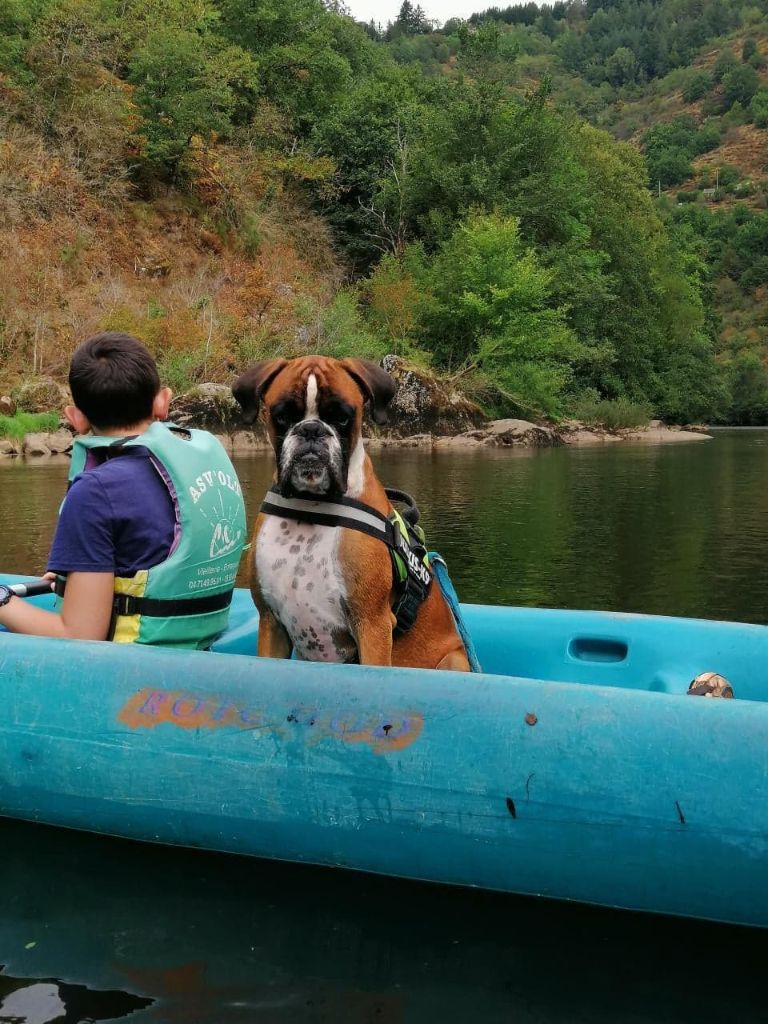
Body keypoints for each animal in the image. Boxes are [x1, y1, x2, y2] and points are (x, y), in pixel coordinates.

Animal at [231, 356, 473, 675]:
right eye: (282, 415)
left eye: (342, 417)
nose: (311, 430)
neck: (310, 507)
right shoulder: (271, 623)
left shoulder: (373, 626)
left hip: (453, 660)